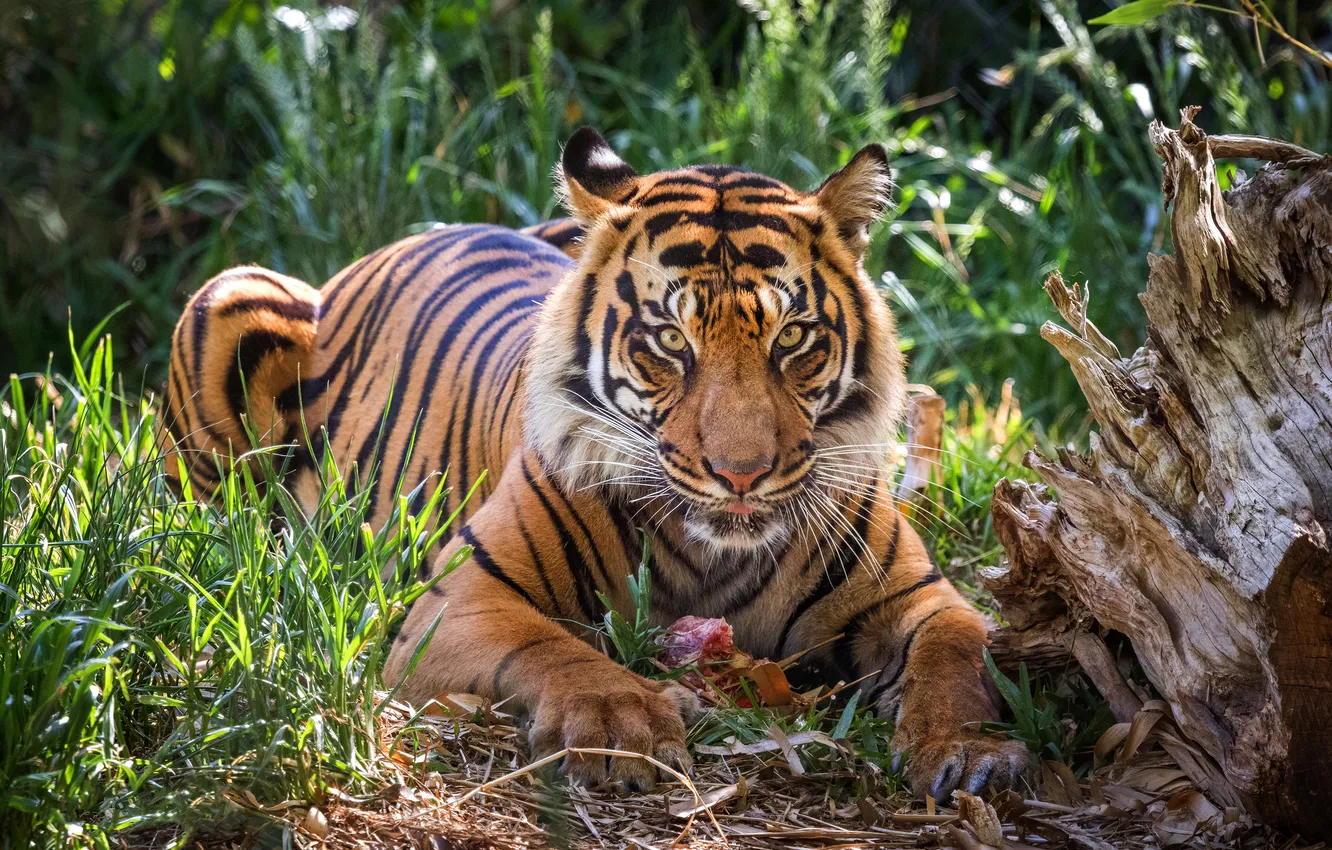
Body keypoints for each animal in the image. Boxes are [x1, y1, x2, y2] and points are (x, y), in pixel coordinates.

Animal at [162, 128, 1029, 800]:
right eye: (670, 341)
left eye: (792, 339)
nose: (741, 473)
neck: (716, 557)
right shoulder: (463, 596)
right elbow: (556, 649)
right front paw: (622, 722)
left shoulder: (921, 597)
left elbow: (956, 656)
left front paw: (971, 752)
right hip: (233, 296)